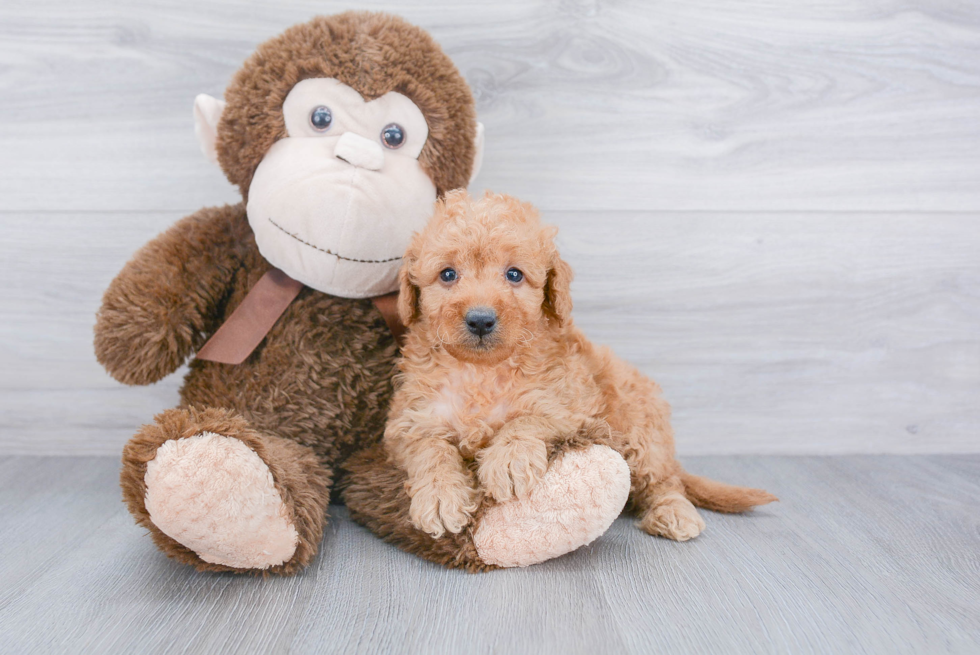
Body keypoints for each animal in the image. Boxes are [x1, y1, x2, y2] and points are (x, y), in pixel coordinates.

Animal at [382, 190, 772, 544]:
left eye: (514, 274)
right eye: (448, 274)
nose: (480, 319)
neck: (482, 371)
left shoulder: (573, 407)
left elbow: (529, 419)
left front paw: (507, 460)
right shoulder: (410, 421)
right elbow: (429, 449)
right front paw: (439, 496)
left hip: (640, 427)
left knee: (663, 480)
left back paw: (673, 511)